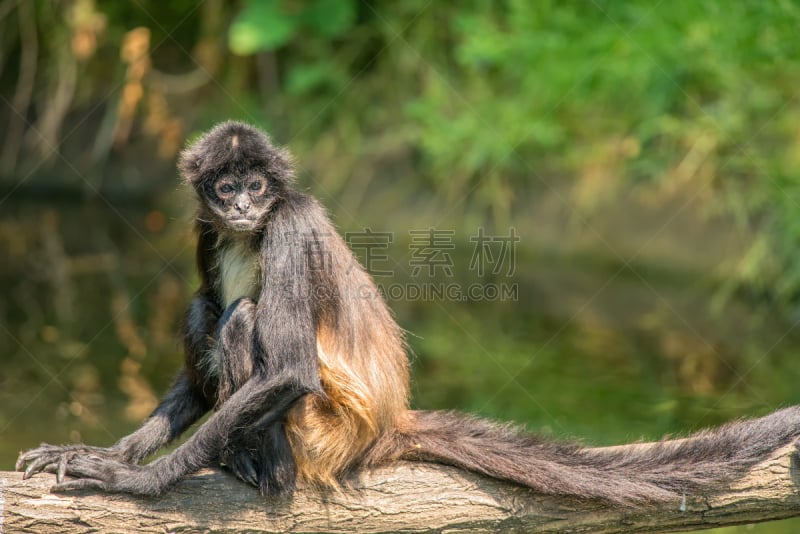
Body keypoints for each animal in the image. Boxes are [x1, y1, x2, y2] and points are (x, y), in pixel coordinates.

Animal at [15, 122, 800, 506]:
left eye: (258, 186)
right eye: (225, 187)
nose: (241, 206)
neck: (250, 230)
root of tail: (388, 420)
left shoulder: (291, 221)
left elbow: (290, 368)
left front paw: (137, 480)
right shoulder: (206, 231)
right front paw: (110, 453)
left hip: (324, 432)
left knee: (236, 316)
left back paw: (265, 475)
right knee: (206, 307)